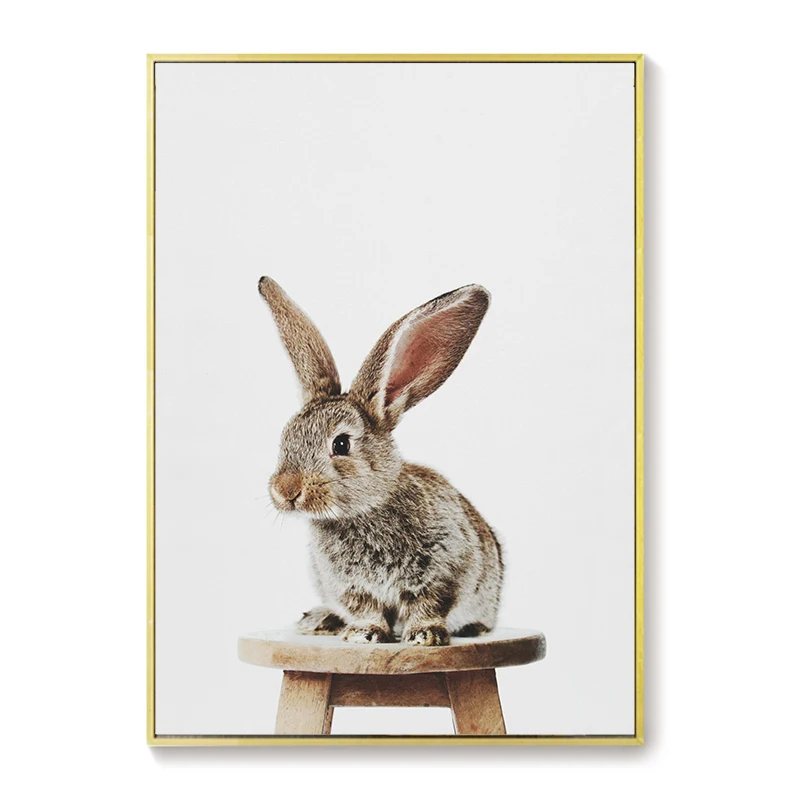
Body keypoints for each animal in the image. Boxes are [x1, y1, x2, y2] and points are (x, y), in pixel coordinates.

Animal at [259, 276, 503, 646]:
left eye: (341, 443)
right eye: (286, 436)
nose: (286, 490)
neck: (364, 511)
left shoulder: (443, 573)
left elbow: (428, 605)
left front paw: (424, 636)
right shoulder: (351, 588)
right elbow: (366, 609)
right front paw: (363, 633)